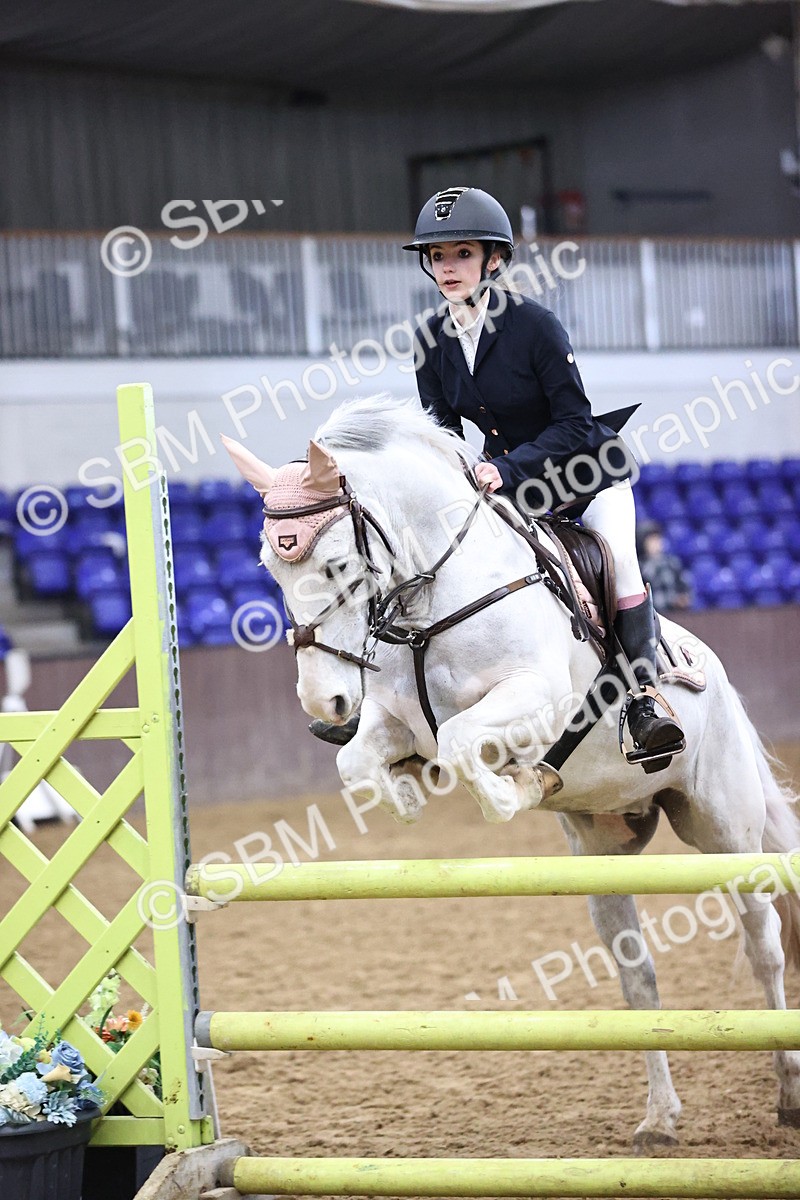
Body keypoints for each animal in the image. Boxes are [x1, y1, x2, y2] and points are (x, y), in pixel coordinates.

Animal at [223, 394, 800, 1149]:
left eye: (342, 564)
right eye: (272, 565)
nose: (326, 703)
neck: (431, 603)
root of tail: (719, 674)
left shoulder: (539, 701)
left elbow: (467, 744)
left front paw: (521, 784)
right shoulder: (394, 720)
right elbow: (362, 760)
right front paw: (409, 790)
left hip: (725, 832)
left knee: (763, 943)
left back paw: (787, 1092)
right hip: (603, 855)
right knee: (638, 976)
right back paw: (659, 1119)